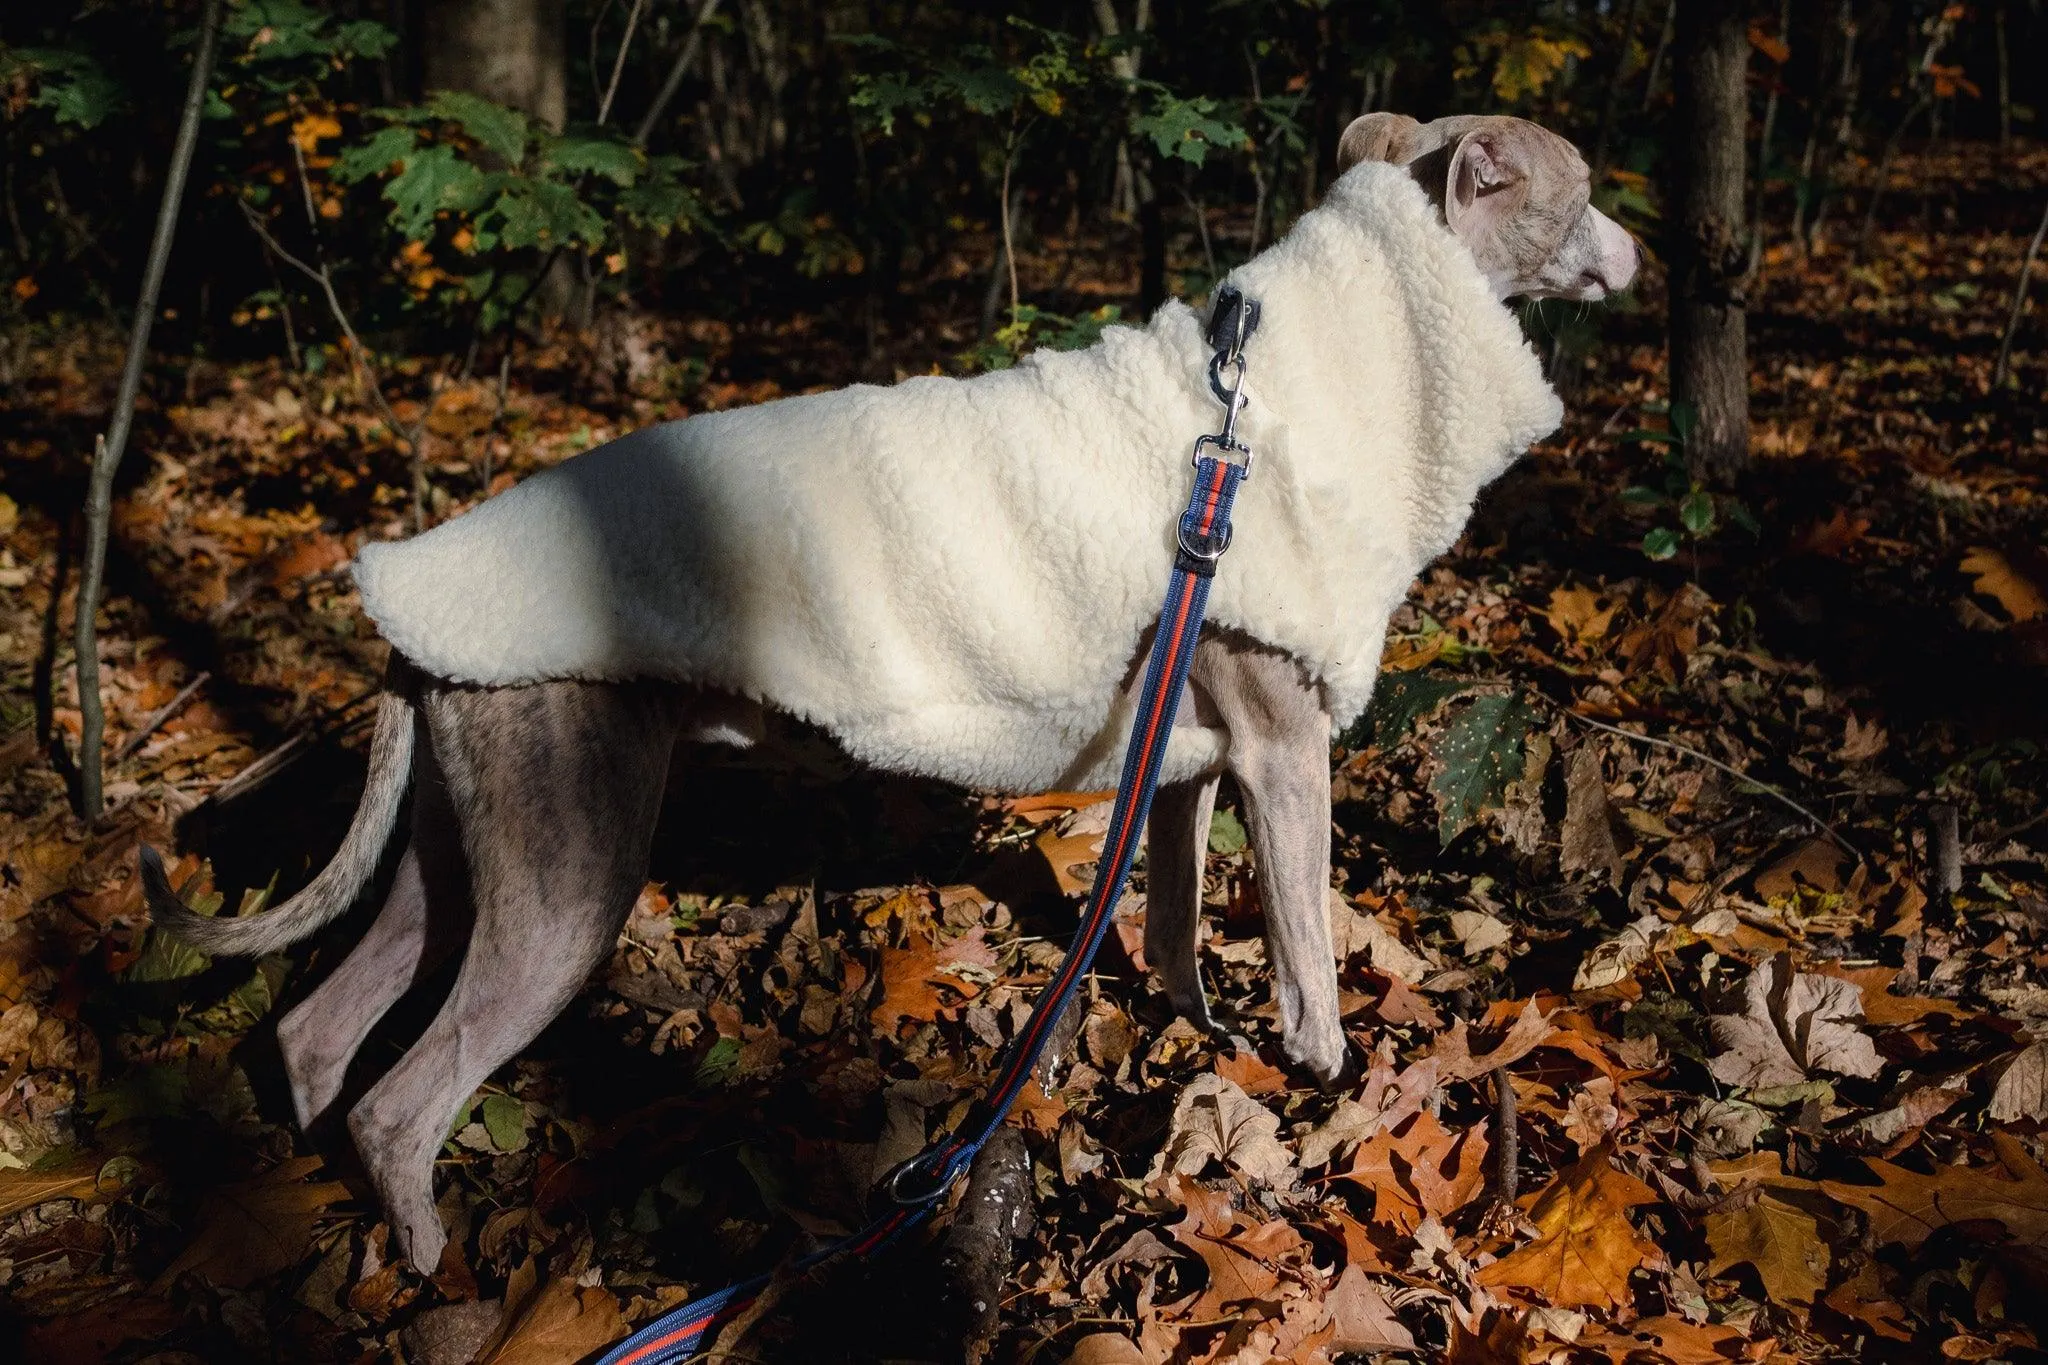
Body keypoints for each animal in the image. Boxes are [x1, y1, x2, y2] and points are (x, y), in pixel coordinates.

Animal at [144, 109, 1638, 1268]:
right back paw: (428, 1268)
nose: (1646, 253)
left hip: (464, 837)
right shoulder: (1282, 750)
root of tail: (410, 601)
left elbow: (1170, 933)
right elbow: (1310, 957)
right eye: (1583, 185)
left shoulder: (1188, 765)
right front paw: (1324, 1085)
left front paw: (1199, 1042)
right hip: (563, 861)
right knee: (401, 1101)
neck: (1269, 404)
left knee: (318, 1034)